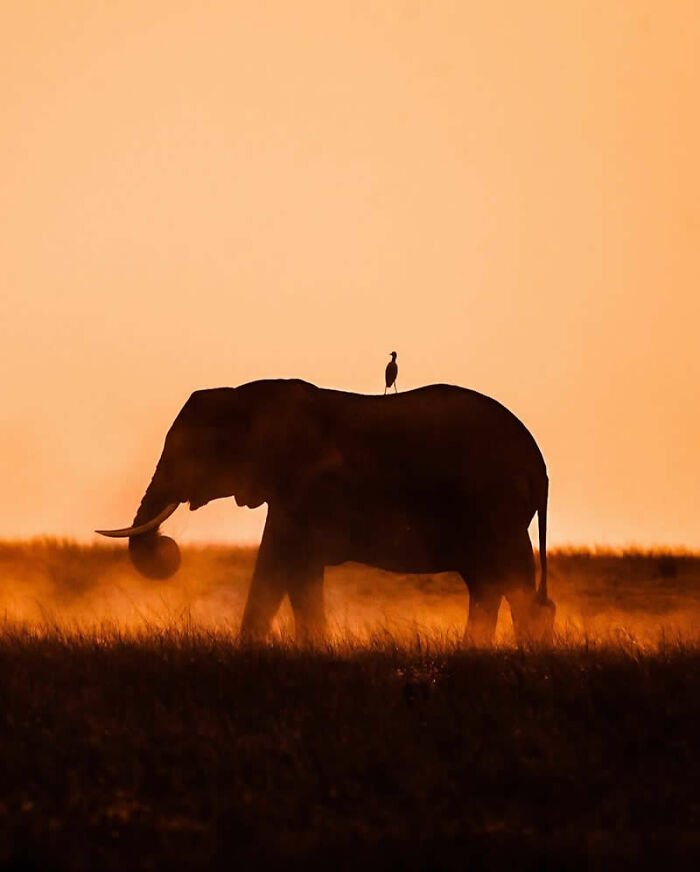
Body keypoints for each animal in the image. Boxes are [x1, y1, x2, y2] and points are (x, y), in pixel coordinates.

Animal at [97, 379, 554, 644]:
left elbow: (296, 570)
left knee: (508, 580)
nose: (167, 548)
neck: (248, 396)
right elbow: (272, 567)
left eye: (190, 452)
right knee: (488, 584)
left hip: (497, 507)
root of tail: (539, 462)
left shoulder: (309, 490)